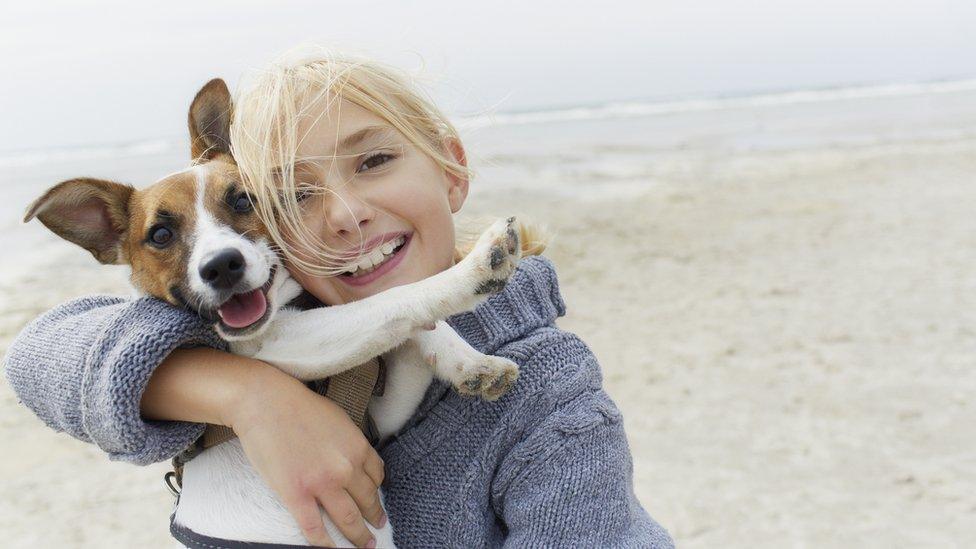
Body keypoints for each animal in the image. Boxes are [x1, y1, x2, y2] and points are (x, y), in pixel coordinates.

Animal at [26, 79, 524, 544]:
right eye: (161, 235)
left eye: (242, 200)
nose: (222, 266)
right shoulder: (281, 343)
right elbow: (391, 299)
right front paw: (475, 269)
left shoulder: (380, 417)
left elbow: (409, 324)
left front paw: (469, 362)